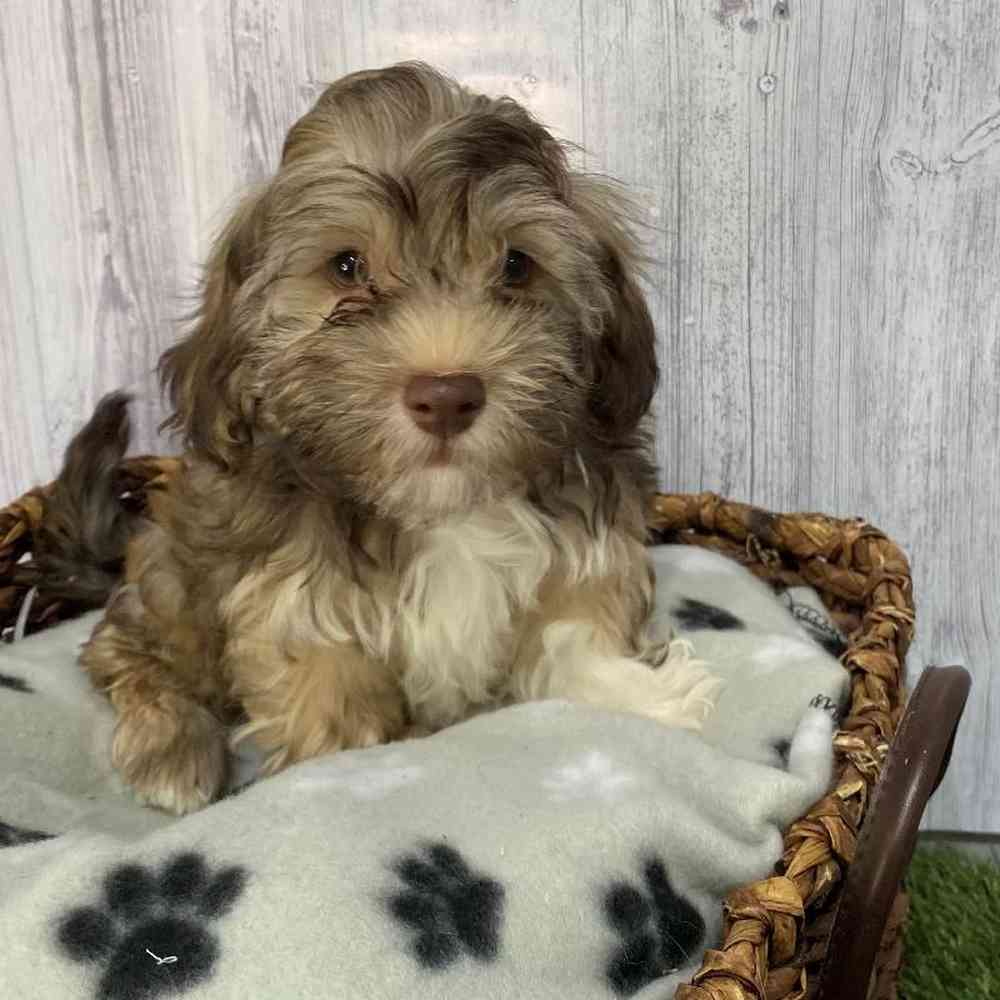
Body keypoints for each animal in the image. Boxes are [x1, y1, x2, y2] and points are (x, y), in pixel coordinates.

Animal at [77, 62, 721, 814]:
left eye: (517, 265)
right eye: (347, 266)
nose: (446, 396)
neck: (442, 511)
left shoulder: (585, 550)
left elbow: (573, 638)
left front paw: (643, 701)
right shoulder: (298, 610)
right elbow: (334, 713)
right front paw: (359, 777)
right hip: (171, 576)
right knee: (126, 652)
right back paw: (171, 748)